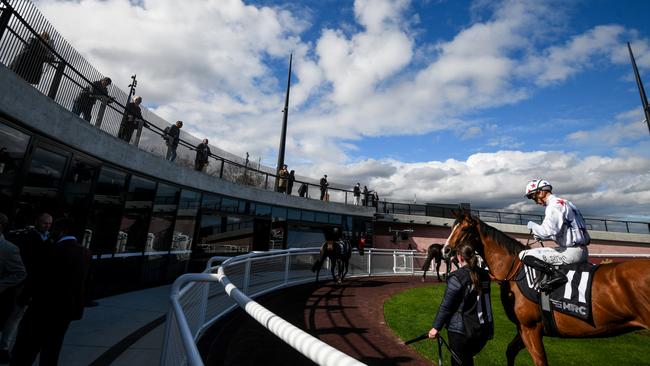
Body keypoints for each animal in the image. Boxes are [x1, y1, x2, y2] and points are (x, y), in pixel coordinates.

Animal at [442, 212, 648, 366]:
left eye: (465, 228)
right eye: (451, 228)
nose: (445, 250)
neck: (514, 269)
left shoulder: (530, 328)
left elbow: (539, 361)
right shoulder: (523, 329)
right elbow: (509, 351)